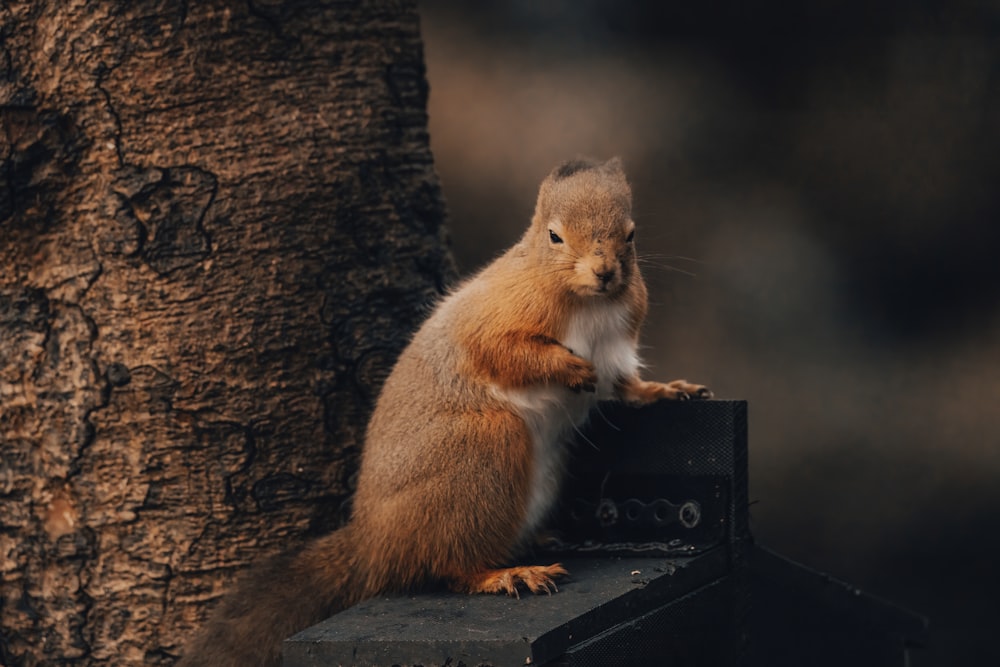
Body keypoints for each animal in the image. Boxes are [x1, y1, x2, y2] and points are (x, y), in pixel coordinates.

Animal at [178, 158, 712, 667]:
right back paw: (507, 574)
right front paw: (569, 368)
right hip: (485, 449)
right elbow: (507, 353)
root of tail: (373, 544)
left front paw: (666, 390)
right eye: (554, 236)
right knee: (448, 566)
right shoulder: (493, 319)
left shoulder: (617, 347)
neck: (587, 303)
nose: (604, 272)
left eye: (631, 233)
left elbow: (625, 385)